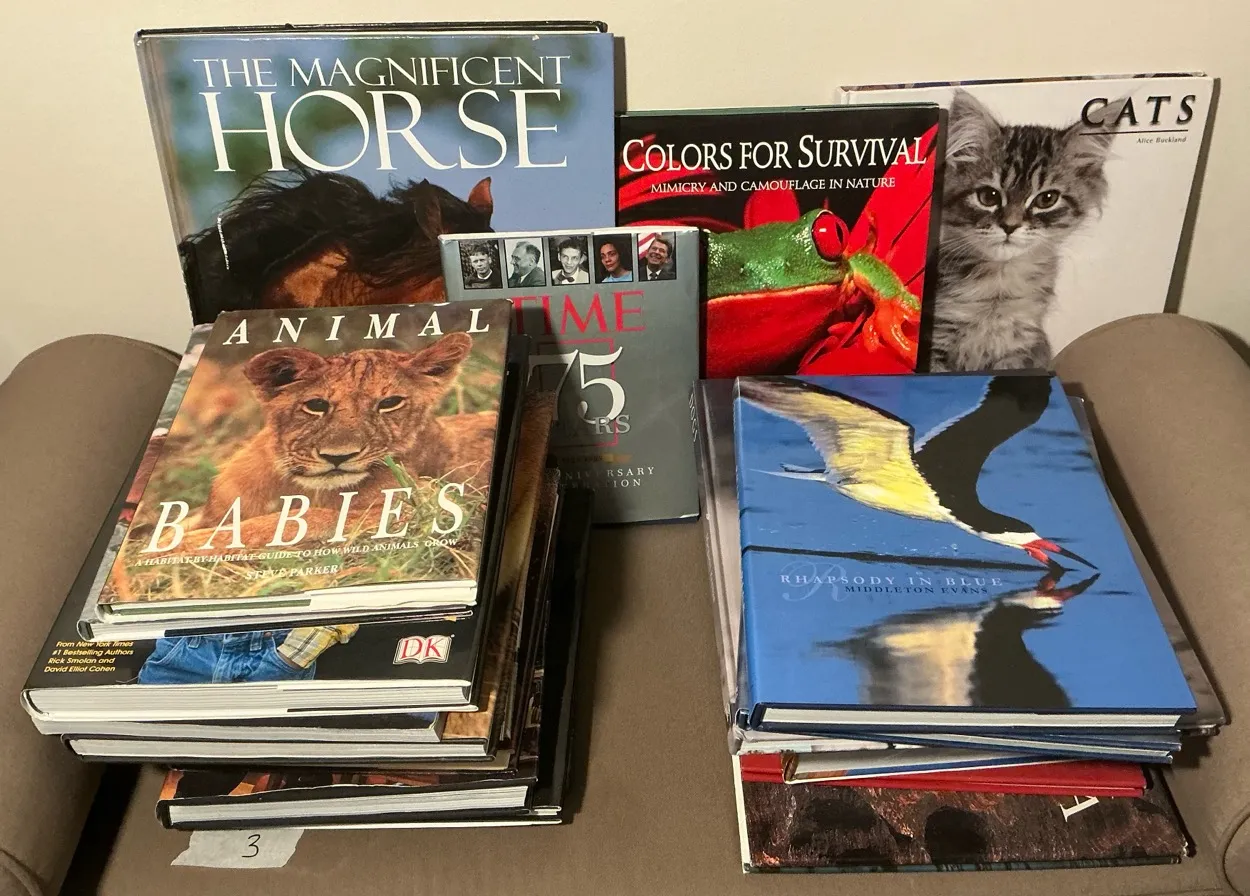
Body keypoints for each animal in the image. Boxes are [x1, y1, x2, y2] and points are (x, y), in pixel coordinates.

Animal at [927, 90, 1116, 372]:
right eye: (988, 196)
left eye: (1046, 199)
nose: (1010, 225)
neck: (998, 286)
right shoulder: (939, 336)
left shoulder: (1021, 343)